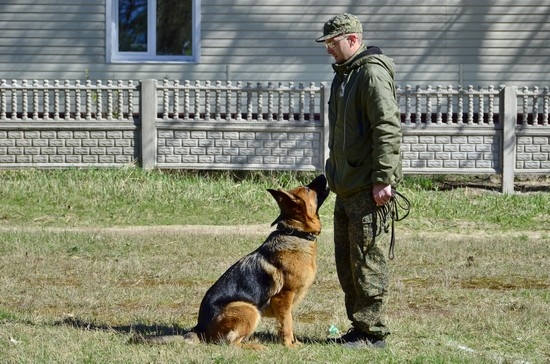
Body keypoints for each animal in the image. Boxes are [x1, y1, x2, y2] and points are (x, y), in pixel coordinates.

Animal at [140, 175, 330, 348]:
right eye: (307, 189)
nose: (323, 175)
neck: (295, 233)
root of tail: (199, 328)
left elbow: (289, 323)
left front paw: (295, 343)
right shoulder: (283, 298)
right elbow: (286, 324)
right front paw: (289, 346)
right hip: (248, 308)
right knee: (230, 343)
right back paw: (254, 346)